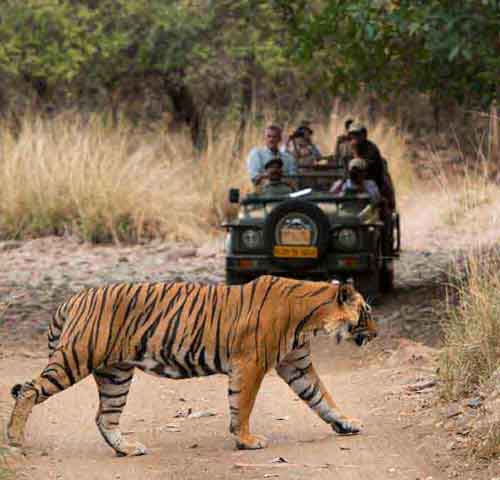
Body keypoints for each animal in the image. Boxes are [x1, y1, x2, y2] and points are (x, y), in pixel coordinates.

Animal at [6, 276, 376, 456]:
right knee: (29, 390)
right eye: (367, 311)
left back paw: (128, 449)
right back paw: (14, 440)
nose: (375, 333)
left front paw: (346, 423)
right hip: (76, 358)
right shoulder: (251, 363)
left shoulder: (295, 364)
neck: (310, 319)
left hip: (115, 374)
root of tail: (72, 298)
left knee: (104, 417)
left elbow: (322, 397)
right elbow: (243, 404)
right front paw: (246, 440)